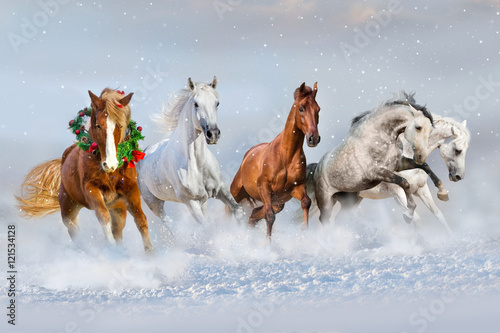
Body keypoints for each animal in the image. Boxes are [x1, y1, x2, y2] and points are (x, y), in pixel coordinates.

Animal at [16, 88, 153, 252]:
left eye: (120, 125)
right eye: (98, 125)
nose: (110, 164)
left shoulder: (131, 189)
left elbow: (141, 219)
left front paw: (151, 252)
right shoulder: (91, 188)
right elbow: (103, 216)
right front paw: (111, 248)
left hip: (118, 209)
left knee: (118, 230)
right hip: (68, 209)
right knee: (74, 230)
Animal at [138, 76, 243, 224]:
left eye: (217, 103)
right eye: (196, 104)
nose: (213, 134)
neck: (197, 165)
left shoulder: (219, 189)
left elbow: (238, 210)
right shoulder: (192, 202)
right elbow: (205, 227)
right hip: (154, 204)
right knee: (167, 222)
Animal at [229, 81, 320, 237]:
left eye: (318, 109)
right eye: (301, 108)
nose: (313, 138)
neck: (285, 156)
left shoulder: (295, 188)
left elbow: (306, 202)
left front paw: (304, 230)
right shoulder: (264, 188)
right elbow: (270, 216)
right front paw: (267, 242)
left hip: (278, 204)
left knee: (253, 215)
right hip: (236, 193)